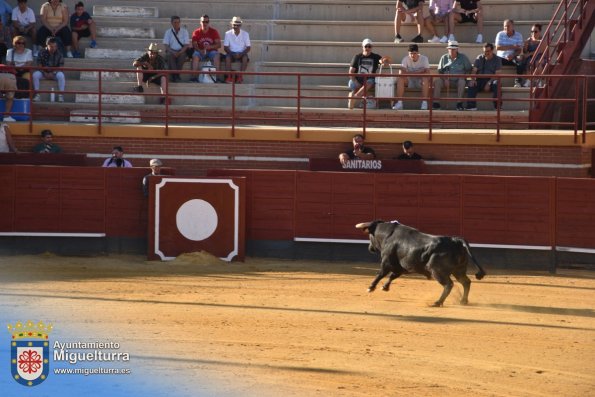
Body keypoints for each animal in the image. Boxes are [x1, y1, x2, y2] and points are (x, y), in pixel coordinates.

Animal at [356, 220, 486, 306]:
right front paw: (385, 287)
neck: (389, 235)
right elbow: (392, 276)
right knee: (466, 282)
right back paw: (463, 301)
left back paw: (437, 302)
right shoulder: (401, 267)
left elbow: (380, 274)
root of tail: (455, 240)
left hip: (438, 271)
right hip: (458, 270)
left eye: (369, 235)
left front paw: (371, 287)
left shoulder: (387, 262)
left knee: (449, 284)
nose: (370, 248)